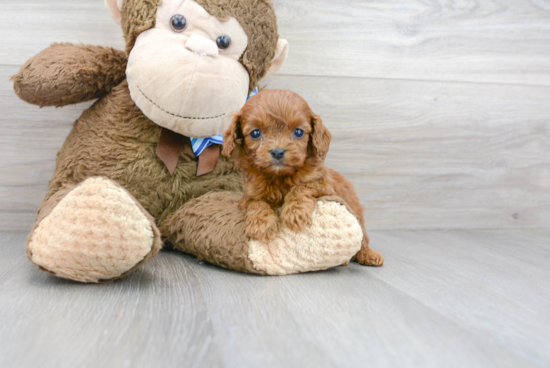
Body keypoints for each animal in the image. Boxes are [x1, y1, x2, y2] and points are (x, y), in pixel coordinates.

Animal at [222, 89, 386, 268]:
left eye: (298, 132)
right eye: (255, 133)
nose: (277, 152)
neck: (280, 177)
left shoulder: (323, 185)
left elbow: (301, 187)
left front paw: (295, 212)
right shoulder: (249, 194)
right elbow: (256, 203)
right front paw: (262, 224)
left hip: (357, 215)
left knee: (363, 239)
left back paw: (368, 255)